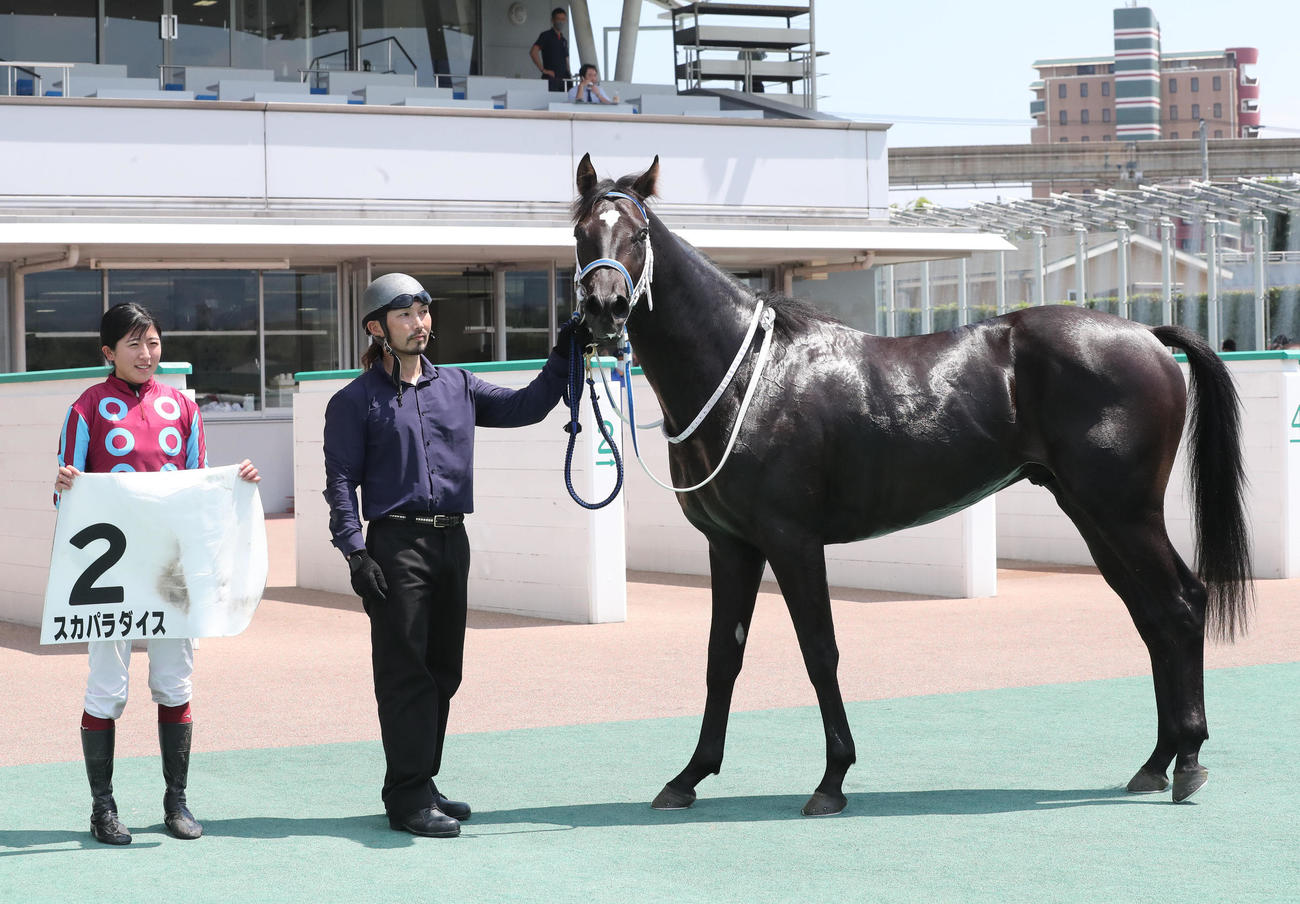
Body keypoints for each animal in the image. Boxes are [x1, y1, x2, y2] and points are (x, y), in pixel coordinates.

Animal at [570, 153, 1252, 814]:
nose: (605, 310)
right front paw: (688, 777)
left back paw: (1188, 762)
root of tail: (1148, 336)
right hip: (1093, 516)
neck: (748, 377)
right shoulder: (731, 545)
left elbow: (819, 649)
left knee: (1181, 606)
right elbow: (722, 657)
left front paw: (832, 779)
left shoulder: (791, 541)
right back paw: (1156, 762)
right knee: (1154, 616)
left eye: (638, 235)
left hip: (1126, 514)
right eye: (581, 233)